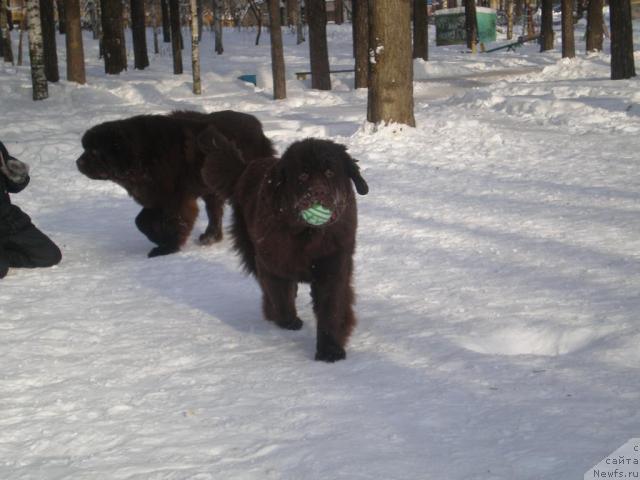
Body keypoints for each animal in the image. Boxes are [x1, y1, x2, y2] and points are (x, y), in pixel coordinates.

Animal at [76, 110, 274, 256]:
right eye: (85, 148)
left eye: (94, 151)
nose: (78, 162)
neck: (141, 155)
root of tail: (258, 126)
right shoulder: (157, 197)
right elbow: (141, 221)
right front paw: (160, 240)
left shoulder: (175, 199)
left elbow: (174, 221)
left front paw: (168, 247)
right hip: (211, 189)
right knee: (215, 213)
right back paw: (210, 237)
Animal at [200, 129, 370, 362]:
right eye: (303, 176)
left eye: (329, 172)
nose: (318, 192)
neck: (307, 235)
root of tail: (246, 168)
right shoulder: (272, 261)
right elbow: (279, 296)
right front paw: (288, 320)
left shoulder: (333, 265)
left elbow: (331, 308)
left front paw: (330, 351)